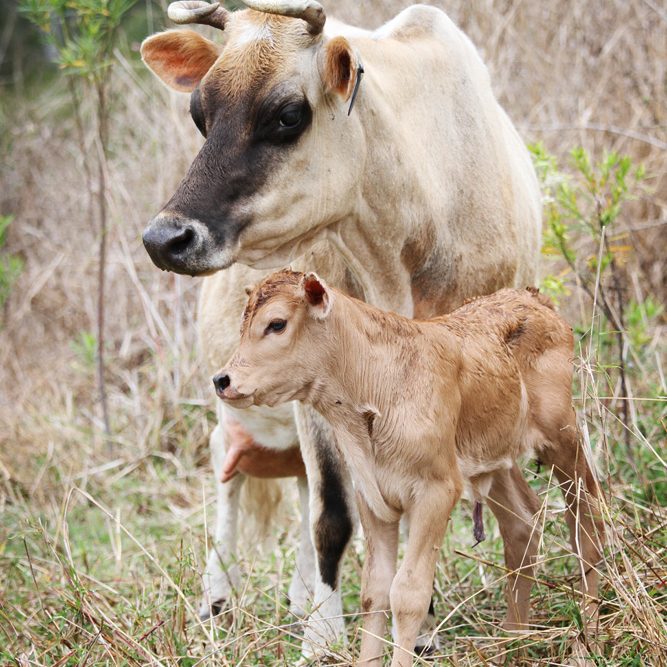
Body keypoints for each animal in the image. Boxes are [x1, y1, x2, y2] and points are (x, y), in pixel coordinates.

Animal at [142, 0, 544, 656]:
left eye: (287, 114)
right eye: (200, 112)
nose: (165, 238)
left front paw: (419, 629)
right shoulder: (312, 388)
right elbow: (332, 514)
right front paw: (322, 638)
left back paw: (295, 596)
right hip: (242, 407)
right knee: (233, 472)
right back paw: (219, 599)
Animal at [213, 268, 604, 664]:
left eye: (276, 323)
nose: (222, 380)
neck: (375, 389)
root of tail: (531, 298)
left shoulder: (437, 491)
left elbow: (408, 593)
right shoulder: (372, 497)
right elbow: (375, 591)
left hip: (562, 435)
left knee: (588, 516)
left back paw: (586, 636)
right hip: (494, 459)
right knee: (522, 524)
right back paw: (511, 644)